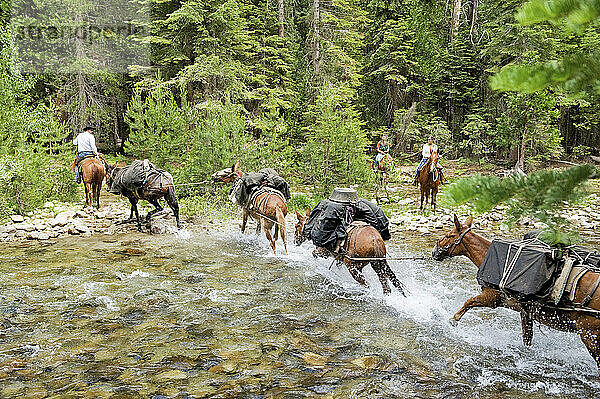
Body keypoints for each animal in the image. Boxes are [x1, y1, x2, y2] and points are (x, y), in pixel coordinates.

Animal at [434, 216, 600, 376]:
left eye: (448, 235)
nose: (435, 251)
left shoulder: (491, 298)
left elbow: (469, 302)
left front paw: (453, 320)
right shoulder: (525, 312)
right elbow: (527, 337)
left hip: (590, 336)